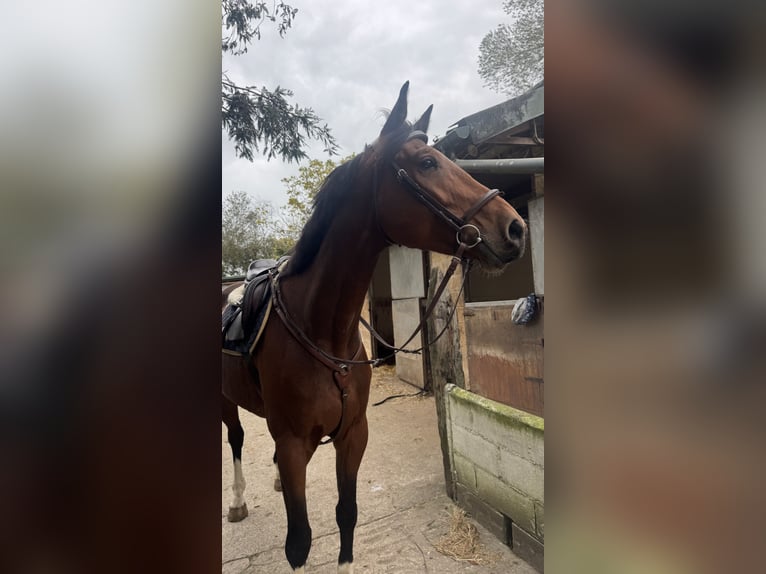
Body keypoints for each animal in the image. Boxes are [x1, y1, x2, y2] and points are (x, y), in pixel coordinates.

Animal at [222, 81, 527, 573]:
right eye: (427, 163)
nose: (515, 228)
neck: (320, 329)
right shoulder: (294, 445)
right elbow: (299, 541)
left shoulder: (352, 436)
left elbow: (347, 515)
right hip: (226, 402)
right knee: (234, 439)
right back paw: (236, 501)